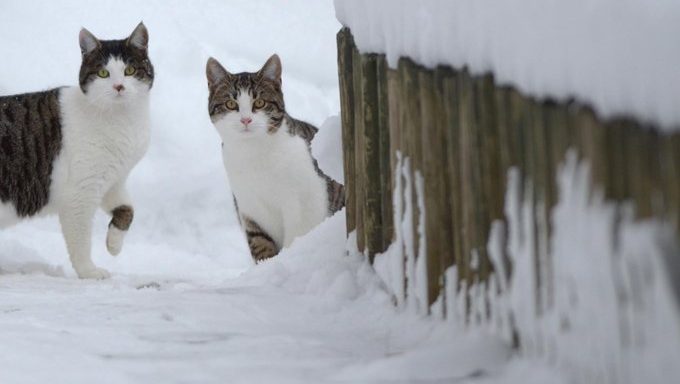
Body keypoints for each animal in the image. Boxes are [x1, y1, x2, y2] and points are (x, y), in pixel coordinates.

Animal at [0, 22, 154, 278]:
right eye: (103, 73)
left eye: (130, 70)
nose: (119, 86)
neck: (122, 122)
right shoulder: (81, 192)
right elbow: (80, 240)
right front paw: (89, 271)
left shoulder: (112, 180)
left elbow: (127, 209)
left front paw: (114, 243)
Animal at [206, 55, 346, 262]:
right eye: (231, 104)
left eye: (260, 103)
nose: (246, 120)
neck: (253, 154)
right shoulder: (250, 209)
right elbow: (261, 245)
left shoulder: (306, 204)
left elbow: (296, 238)